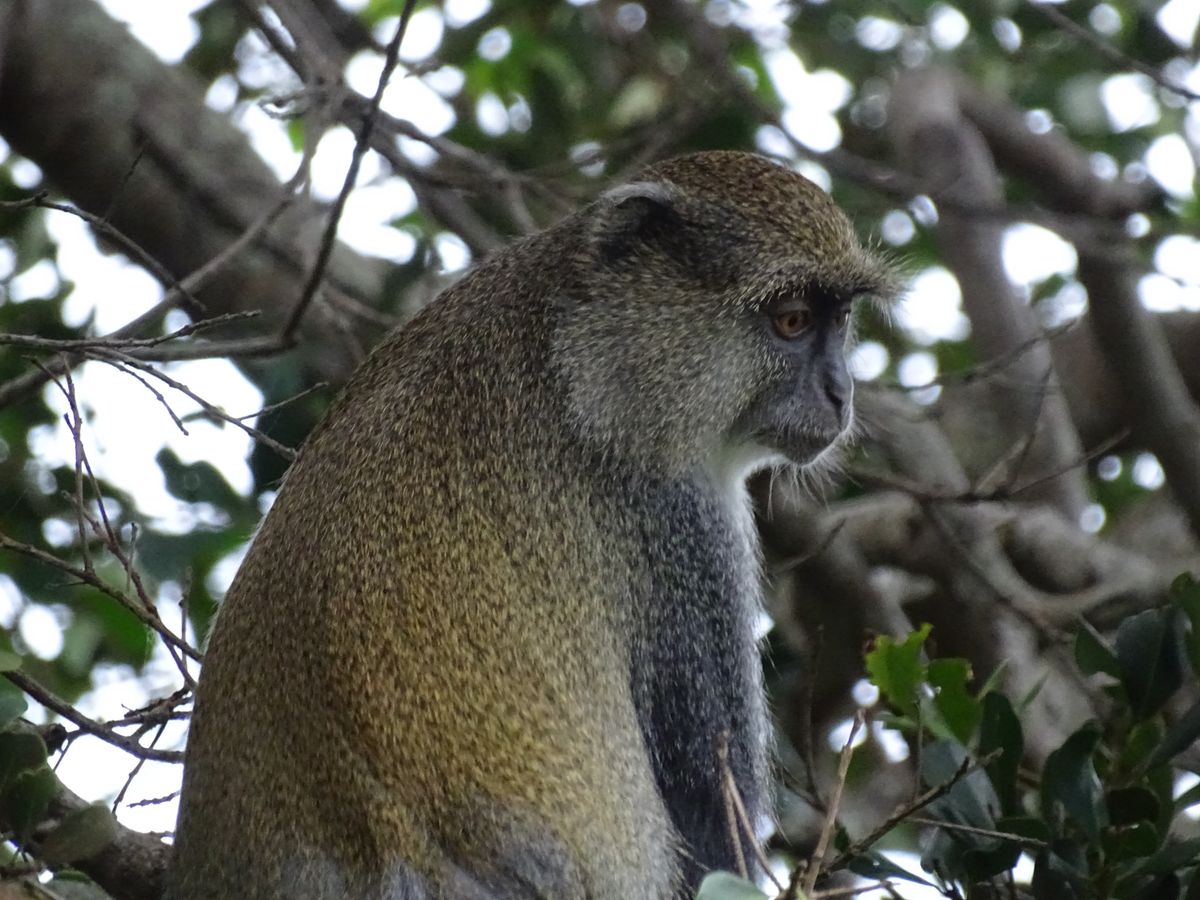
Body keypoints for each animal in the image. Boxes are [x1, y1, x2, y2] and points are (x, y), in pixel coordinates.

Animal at [164, 151, 897, 900]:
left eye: (838, 320)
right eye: (792, 319)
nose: (840, 392)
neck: (572, 358)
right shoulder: (682, 525)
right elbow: (712, 830)